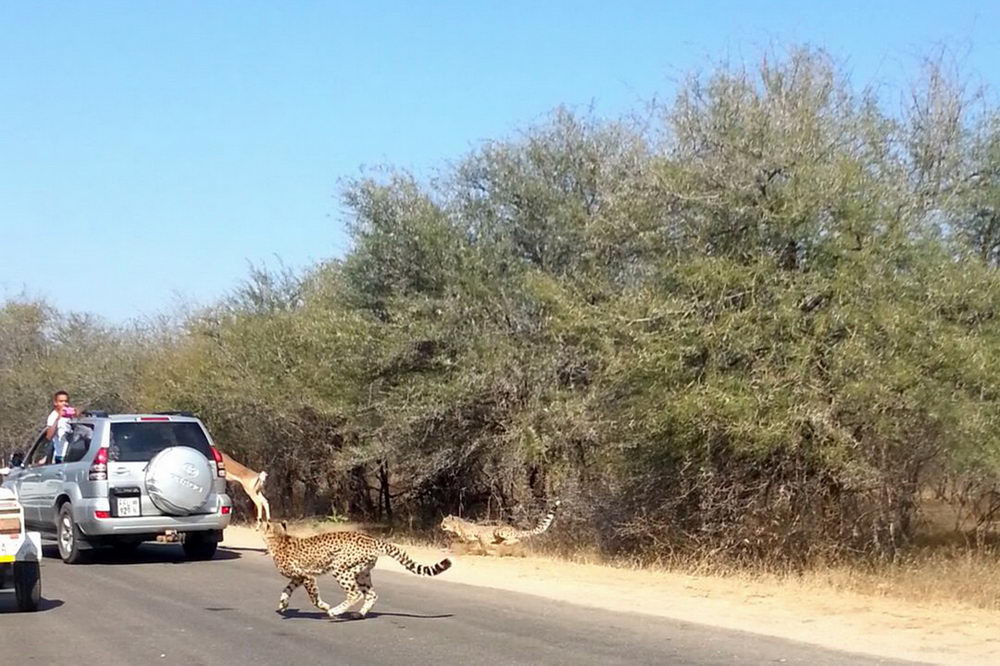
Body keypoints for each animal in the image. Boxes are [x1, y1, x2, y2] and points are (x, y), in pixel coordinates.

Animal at [262, 520, 450, 616]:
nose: (259, 522)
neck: (278, 537)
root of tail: (371, 539)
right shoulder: (299, 577)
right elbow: (286, 590)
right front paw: (282, 605)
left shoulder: (307, 577)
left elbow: (313, 597)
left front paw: (324, 606)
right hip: (362, 572)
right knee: (371, 594)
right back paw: (360, 614)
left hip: (340, 568)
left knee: (355, 593)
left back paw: (335, 611)